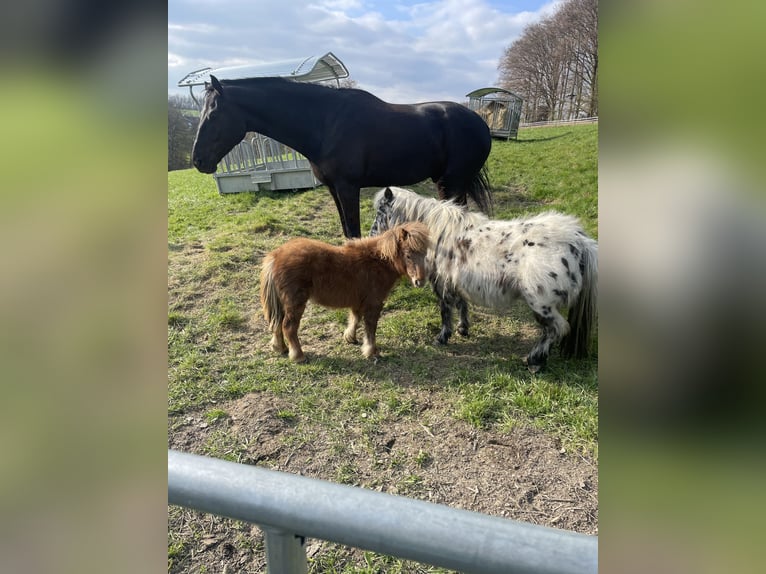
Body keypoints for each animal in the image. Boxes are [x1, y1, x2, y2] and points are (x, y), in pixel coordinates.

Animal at [192, 76, 492, 238]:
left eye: (214, 113)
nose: (197, 160)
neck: (324, 124)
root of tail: (480, 122)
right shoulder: (333, 188)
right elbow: (347, 232)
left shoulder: (348, 188)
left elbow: (354, 231)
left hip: (452, 182)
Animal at [260, 223, 432, 362]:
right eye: (408, 255)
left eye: (425, 254)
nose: (420, 281)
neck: (378, 262)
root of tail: (275, 255)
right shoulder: (374, 303)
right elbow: (370, 327)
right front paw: (372, 352)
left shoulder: (358, 301)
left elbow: (355, 318)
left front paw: (350, 338)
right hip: (295, 302)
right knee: (288, 326)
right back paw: (298, 356)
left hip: (283, 302)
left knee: (277, 322)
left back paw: (281, 348)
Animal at [372, 187, 600, 372]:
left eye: (381, 211)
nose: (372, 233)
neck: (437, 234)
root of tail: (580, 242)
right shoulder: (454, 281)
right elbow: (461, 304)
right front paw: (463, 329)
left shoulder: (441, 282)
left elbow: (445, 310)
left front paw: (442, 337)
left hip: (541, 303)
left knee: (556, 329)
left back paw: (534, 360)